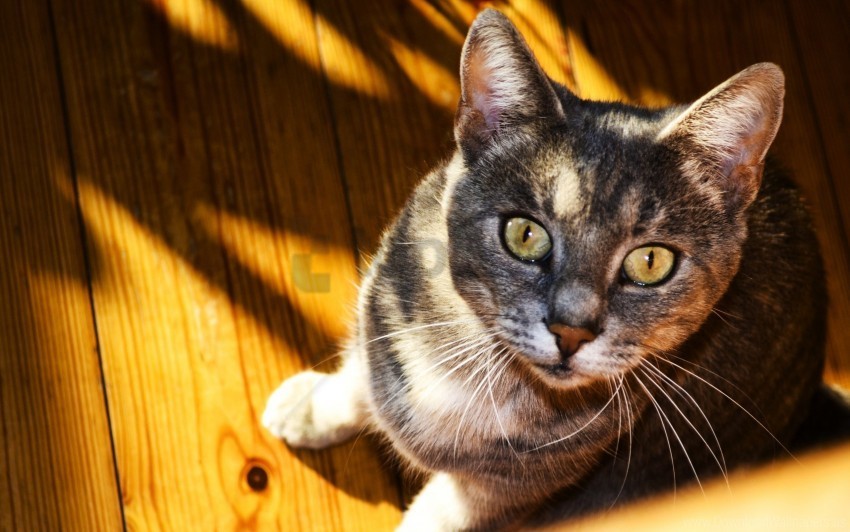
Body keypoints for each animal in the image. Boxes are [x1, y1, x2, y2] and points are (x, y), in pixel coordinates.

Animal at [262, 9, 844, 532]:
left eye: (651, 261)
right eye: (525, 234)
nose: (572, 330)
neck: (480, 370)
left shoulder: (505, 491)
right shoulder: (382, 304)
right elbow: (360, 373)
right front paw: (313, 407)